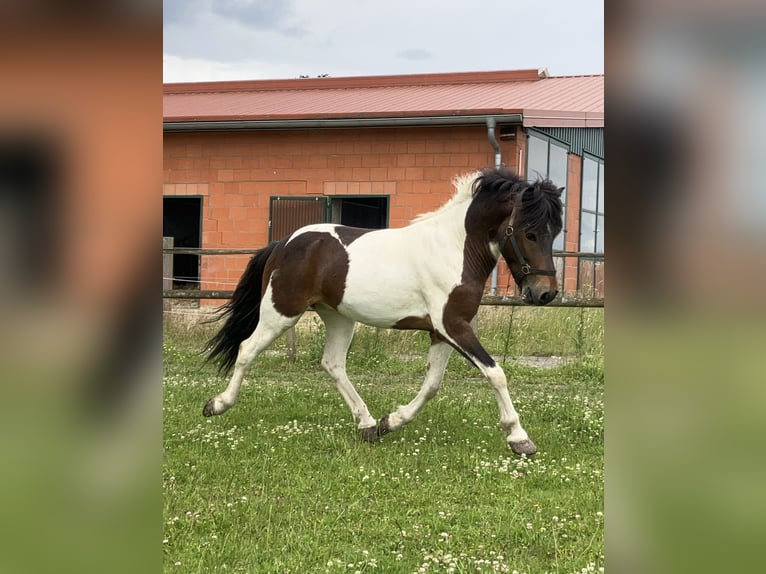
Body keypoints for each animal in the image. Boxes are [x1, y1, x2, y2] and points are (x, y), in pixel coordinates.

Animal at [203, 167, 563, 455]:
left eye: (555, 231)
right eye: (529, 232)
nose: (545, 293)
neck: (454, 249)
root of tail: (284, 244)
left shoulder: (443, 331)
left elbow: (432, 384)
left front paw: (390, 422)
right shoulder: (452, 326)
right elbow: (495, 373)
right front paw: (519, 438)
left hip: (338, 317)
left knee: (332, 364)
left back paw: (367, 424)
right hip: (281, 312)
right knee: (247, 349)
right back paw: (217, 404)